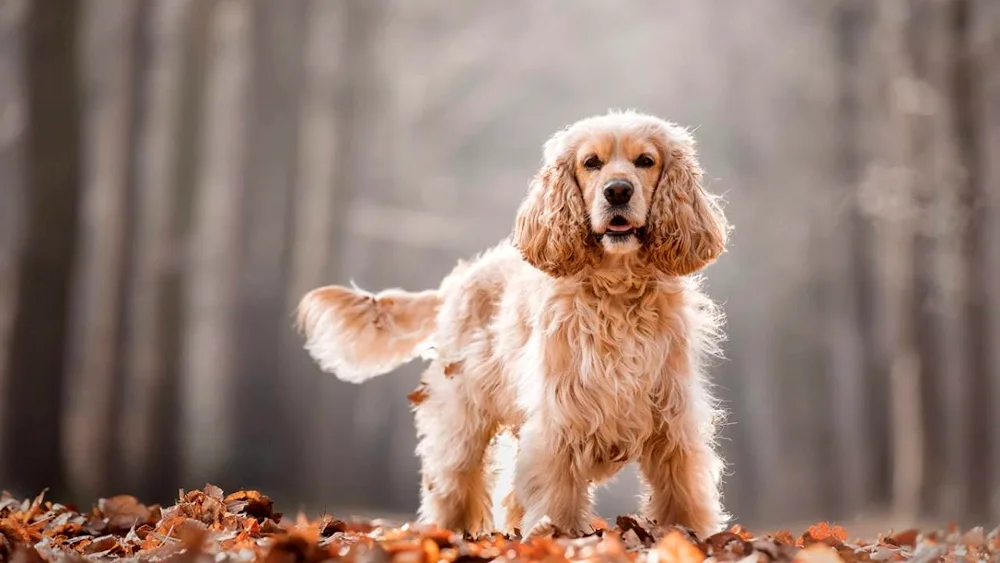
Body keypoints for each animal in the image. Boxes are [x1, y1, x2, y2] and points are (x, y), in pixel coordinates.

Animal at [292, 110, 732, 536]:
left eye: (646, 161)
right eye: (591, 163)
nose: (618, 191)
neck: (617, 290)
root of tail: (457, 281)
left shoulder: (672, 418)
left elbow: (681, 492)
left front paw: (689, 536)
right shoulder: (559, 417)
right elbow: (557, 491)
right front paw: (560, 536)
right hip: (461, 420)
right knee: (451, 484)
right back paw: (446, 533)